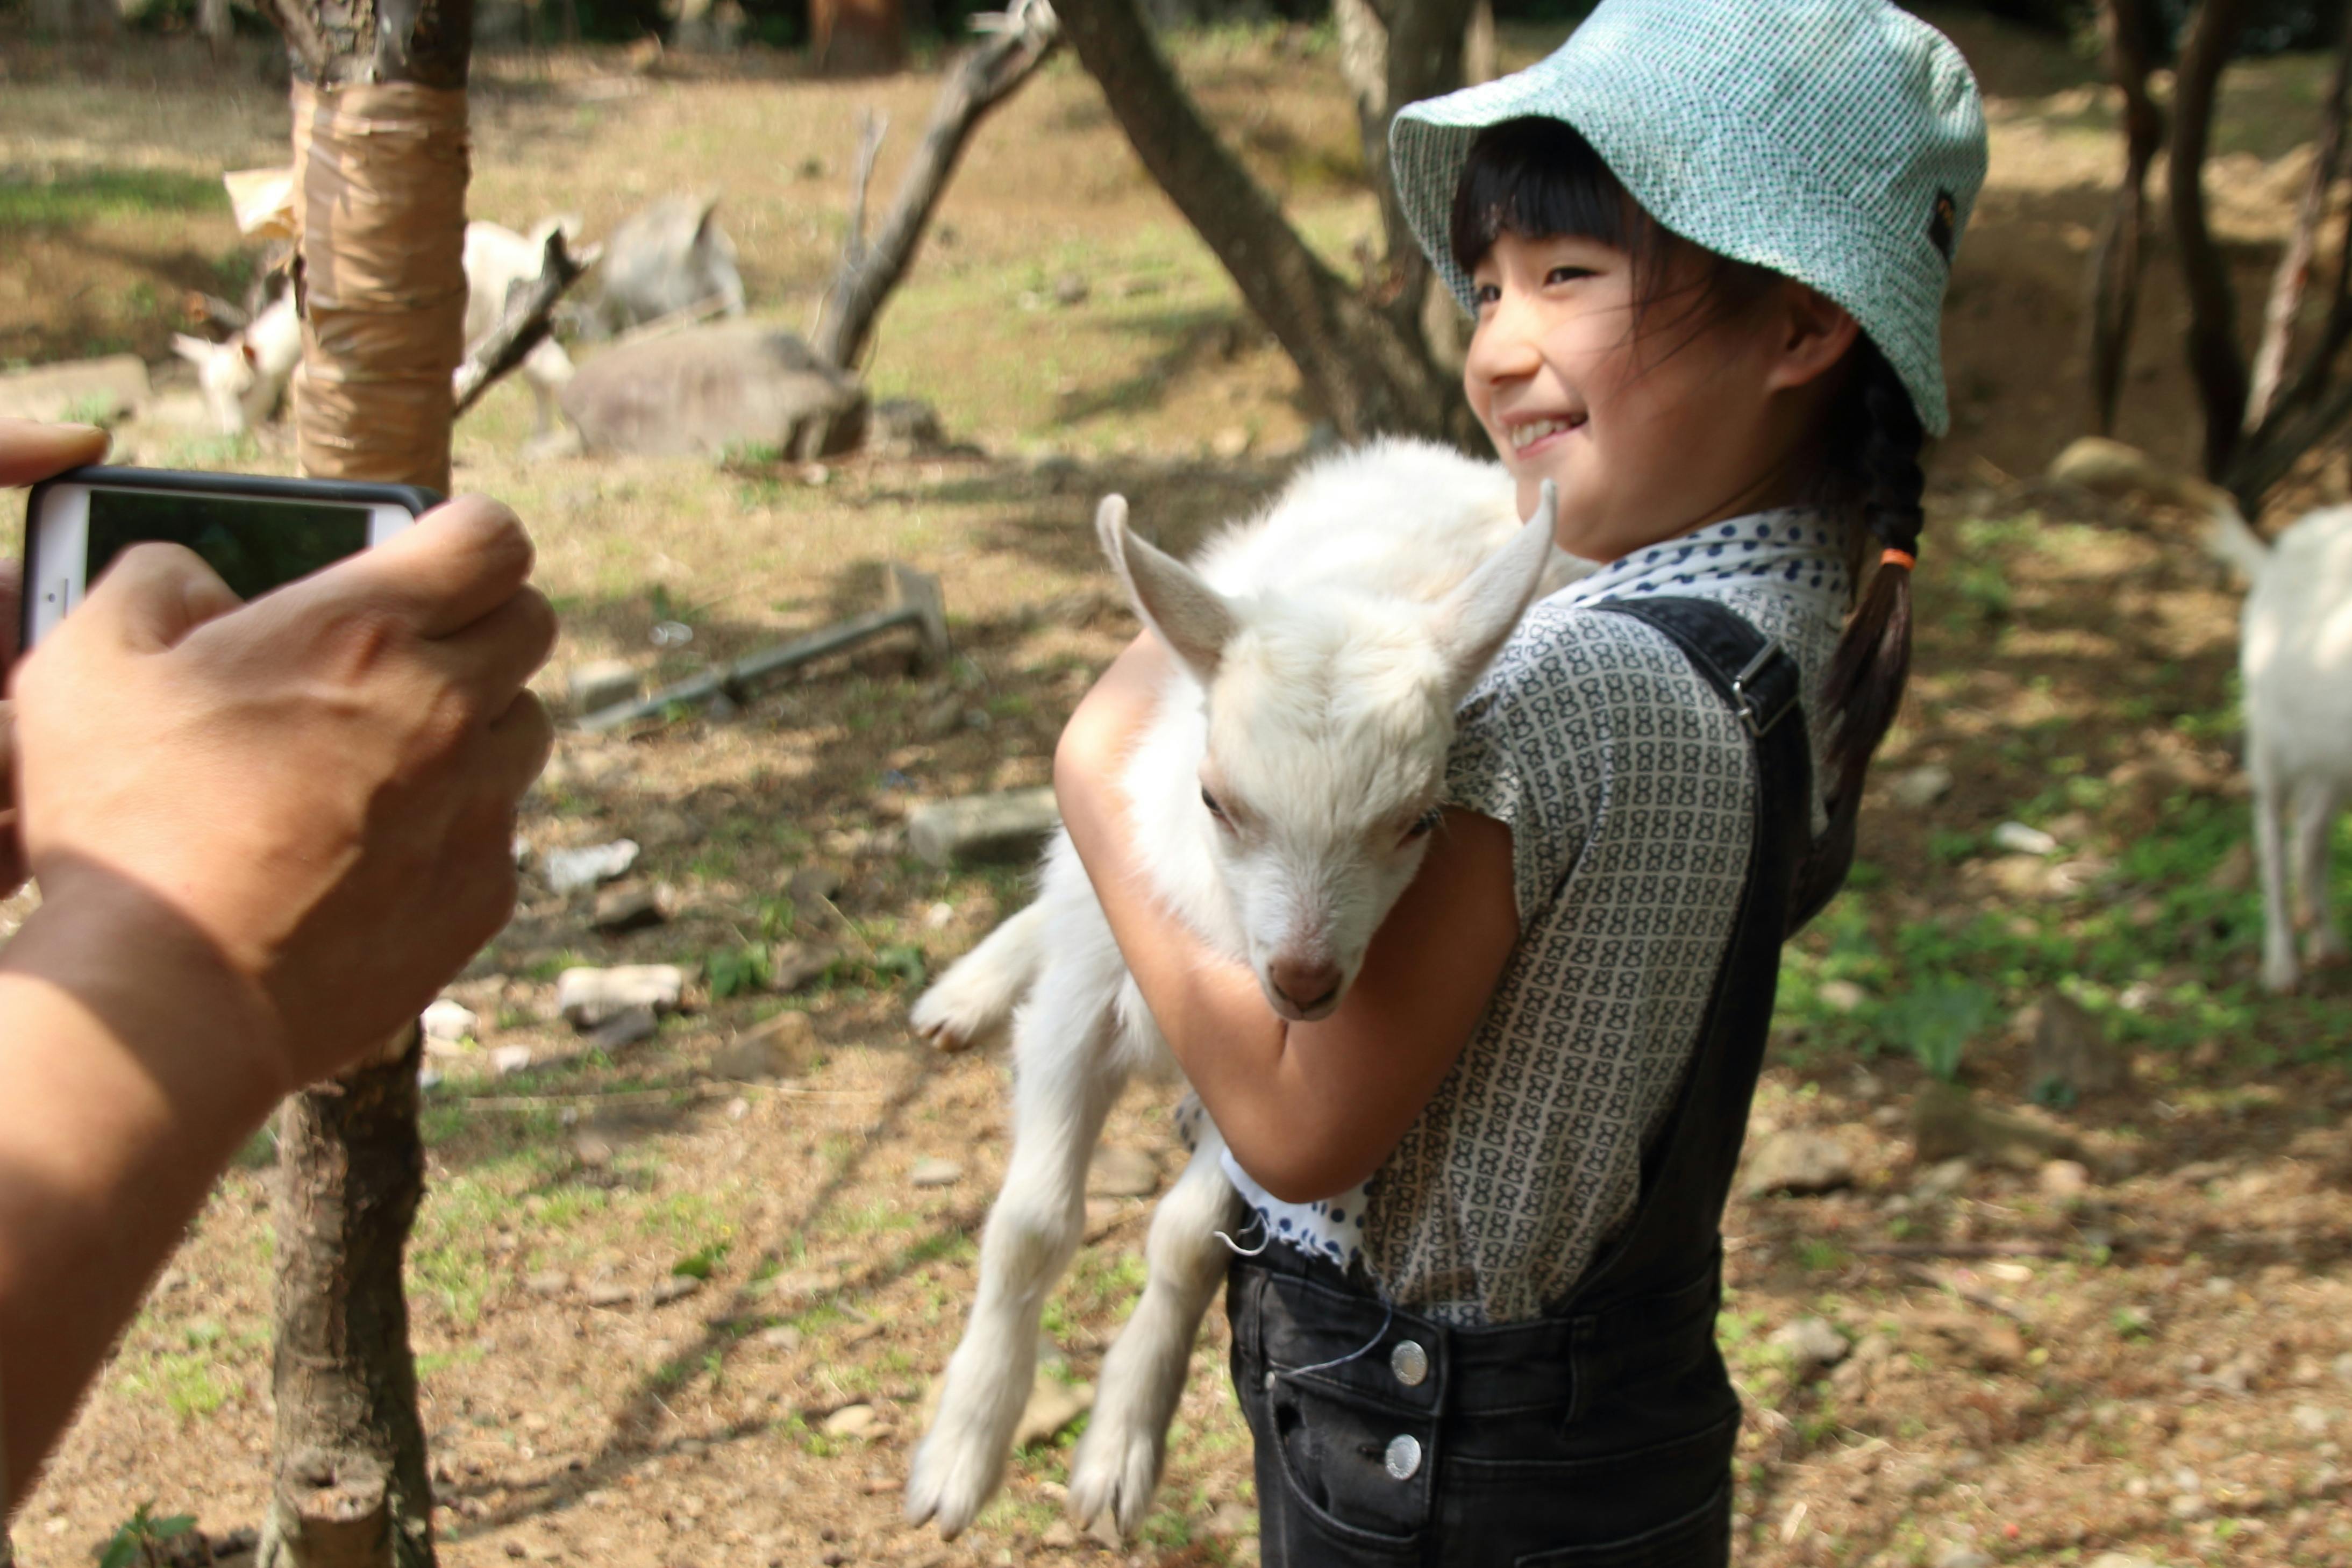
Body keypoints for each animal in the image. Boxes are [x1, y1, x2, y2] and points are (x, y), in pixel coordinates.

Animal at [894, 434, 1580, 1542]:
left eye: (1421, 820)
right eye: (1217, 800)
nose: (1304, 980)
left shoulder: (1276, 1102)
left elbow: (1182, 1241)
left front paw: (1118, 1452)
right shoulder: (1084, 993)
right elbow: (1031, 1225)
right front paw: (960, 1453)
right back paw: (968, 986)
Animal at [2051, 434, 2342, 992]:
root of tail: (2274, 563)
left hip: (2323, 754)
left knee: (2311, 833)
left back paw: (2324, 941)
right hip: (2271, 740)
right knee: (2274, 836)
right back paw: (2282, 963)